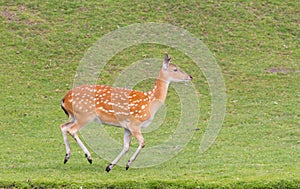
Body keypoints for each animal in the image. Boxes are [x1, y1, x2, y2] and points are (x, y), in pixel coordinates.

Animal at [59, 53, 192, 171]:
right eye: (175, 69)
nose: (190, 76)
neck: (150, 102)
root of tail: (64, 99)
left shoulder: (126, 127)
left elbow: (126, 146)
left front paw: (110, 166)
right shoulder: (135, 124)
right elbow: (143, 143)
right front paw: (128, 164)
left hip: (73, 116)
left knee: (63, 126)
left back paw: (67, 157)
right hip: (85, 115)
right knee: (72, 130)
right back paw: (89, 157)